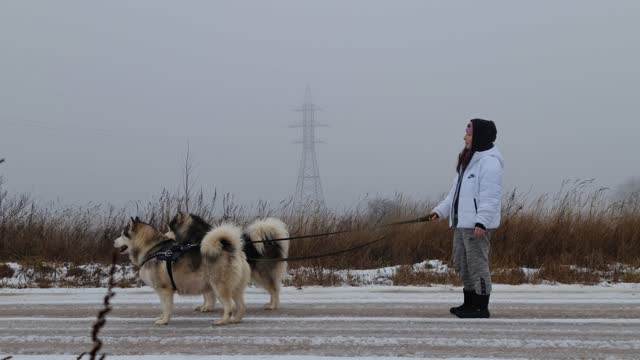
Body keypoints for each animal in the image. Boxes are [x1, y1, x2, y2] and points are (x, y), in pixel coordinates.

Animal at [114, 217, 249, 326]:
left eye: (122, 234)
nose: (113, 241)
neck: (153, 249)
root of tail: (231, 249)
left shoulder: (164, 290)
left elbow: (166, 307)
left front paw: (164, 321)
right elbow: (164, 307)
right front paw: (162, 318)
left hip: (220, 287)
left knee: (229, 306)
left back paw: (222, 321)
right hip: (235, 288)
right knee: (241, 306)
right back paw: (236, 319)